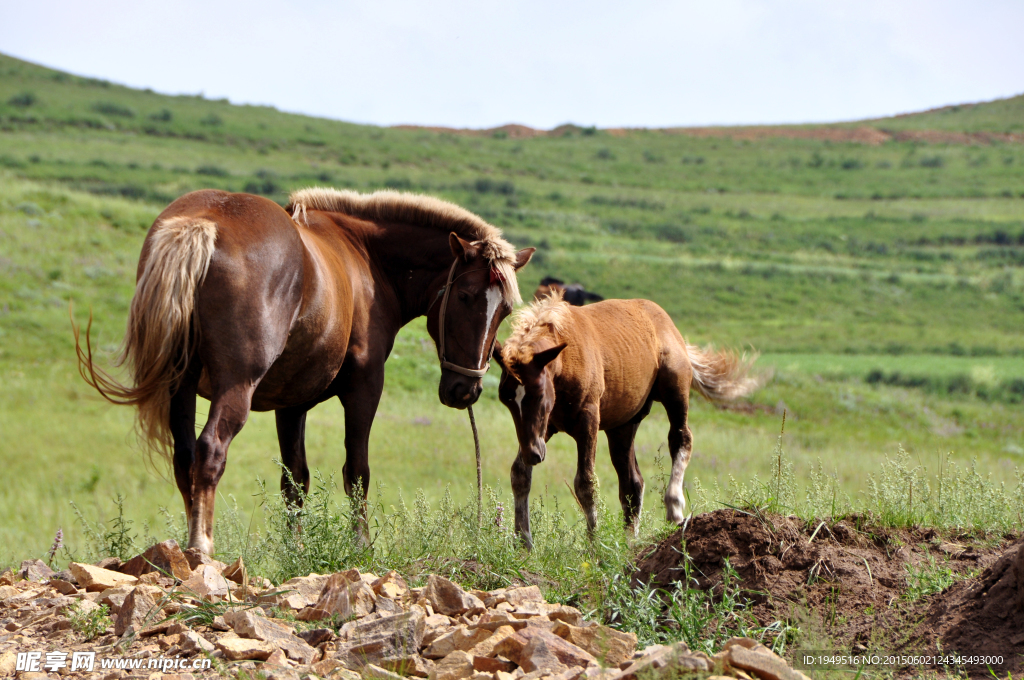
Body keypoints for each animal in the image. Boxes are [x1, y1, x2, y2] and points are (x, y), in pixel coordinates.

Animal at [77, 186, 536, 553]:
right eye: (465, 295)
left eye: (505, 310)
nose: (465, 391)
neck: (365, 258)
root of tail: (204, 222)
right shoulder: (364, 388)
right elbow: (356, 472)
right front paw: (361, 546)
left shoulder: (290, 405)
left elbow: (295, 482)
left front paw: (295, 550)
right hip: (235, 387)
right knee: (210, 450)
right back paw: (201, 546)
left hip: (181, 385)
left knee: (186, 456)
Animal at [487, 290, 761, 548]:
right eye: (506, 399)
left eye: (540, 393)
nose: (534, 454)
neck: (566, 357)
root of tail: (668, 323)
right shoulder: (547, 427)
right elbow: (520, 474)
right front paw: (524, 543)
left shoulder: (587, 420)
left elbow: (586, 483)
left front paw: (593, 545)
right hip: (623, 426)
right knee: (632, 482)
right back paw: (631, 541)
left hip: (675, 392)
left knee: (681, 439)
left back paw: (674, 507)